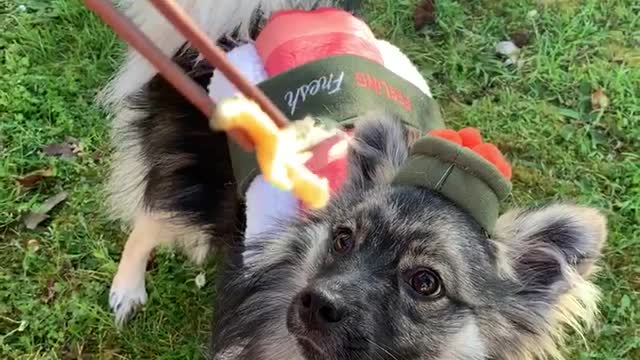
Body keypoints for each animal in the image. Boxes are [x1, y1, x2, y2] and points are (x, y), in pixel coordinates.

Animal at [100, 1, 604, 358]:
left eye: (426, 282)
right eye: (342, 240)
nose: (316, 302)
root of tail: (261, 22)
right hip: (192, 175)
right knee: (149, 219)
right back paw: (127, 289)